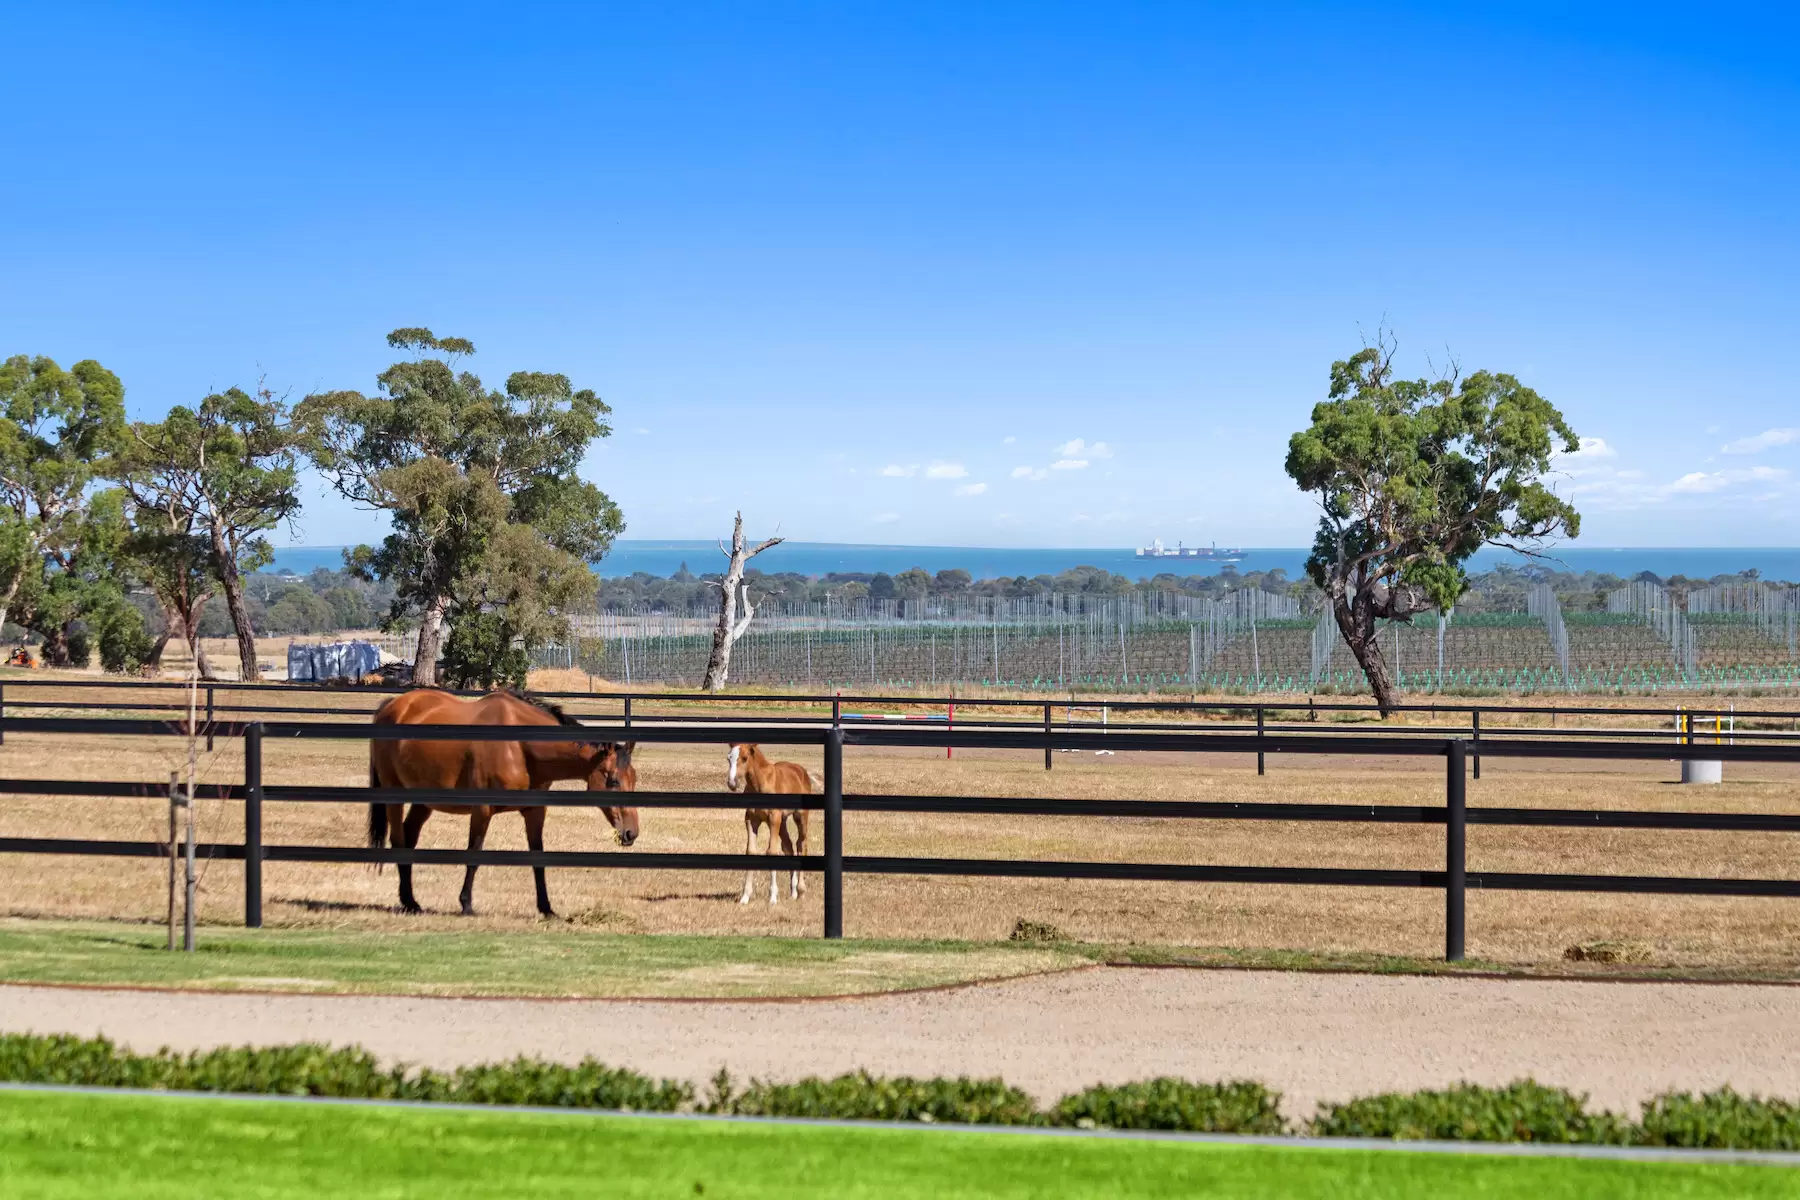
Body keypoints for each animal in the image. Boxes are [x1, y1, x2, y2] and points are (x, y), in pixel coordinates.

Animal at [365, 690, 640, 913]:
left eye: (634, 779)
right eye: (613, 780)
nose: (631, 833)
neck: (519, 745)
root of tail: (393, 705)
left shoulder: (534, 811)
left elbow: (538, 859)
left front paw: (546, 908)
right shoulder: (482, 810)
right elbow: (474, 854)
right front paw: (466, 903)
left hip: (424, 801)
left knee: (410, 837)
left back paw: (411, 901)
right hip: (394, 795)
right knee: (399, 840)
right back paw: (409, 901)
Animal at [727, 744, 820, 906]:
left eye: (744, 758)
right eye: (728, 758)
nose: (732, 783)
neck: (760, 784)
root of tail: (802, 771)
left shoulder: (773, 819)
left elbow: (772, 852)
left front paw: (772, 897)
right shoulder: (751, 820)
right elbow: (751, 851)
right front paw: (745, 897)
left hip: (800, 817)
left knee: (802, 844)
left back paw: (801, 890)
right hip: (782, 822)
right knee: (789, 846)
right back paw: (793, 892)